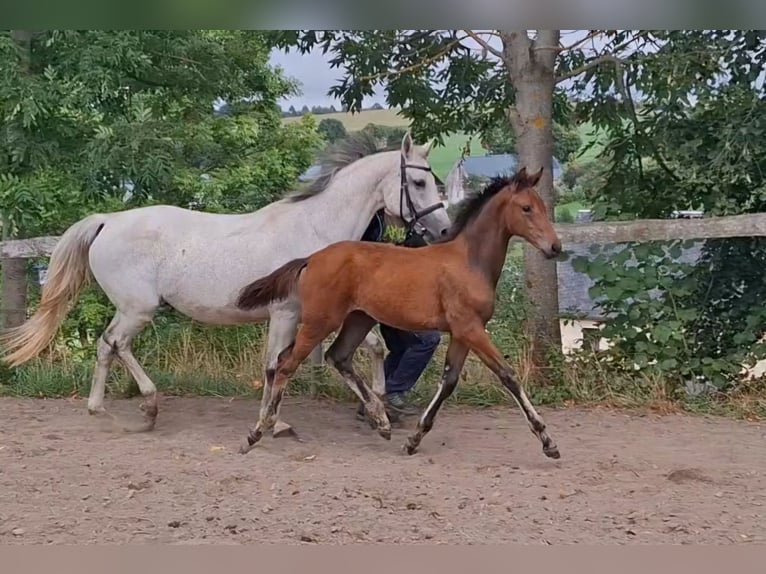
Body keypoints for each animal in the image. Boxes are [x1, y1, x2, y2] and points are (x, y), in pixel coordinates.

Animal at [0, 130, 451, 436]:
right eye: (419, 182)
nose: (444, 230)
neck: (316, 229)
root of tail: (107, 221)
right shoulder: (287, 313)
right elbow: (275, 365)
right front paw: (275, 424)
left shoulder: (322, 314)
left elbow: (369, 347)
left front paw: (377, 409)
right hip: (138, 308)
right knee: (114, 343)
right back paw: (146, 407)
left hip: (131, 308)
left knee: (105, 346)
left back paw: (102, 410)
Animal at [234, 166, 563, 459]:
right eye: (526, 208)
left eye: (543, 206)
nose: (555, 247)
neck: (469, 261)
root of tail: (311, 258)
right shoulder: (471, 329)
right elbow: (508, 375)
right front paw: (548, 441)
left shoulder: (461, 333)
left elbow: (449, 381)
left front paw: (413, 441)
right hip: (320, 322)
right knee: (285, 364)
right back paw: (257, 432)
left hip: (358, 319)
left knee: (336, 356)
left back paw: (381, 422)